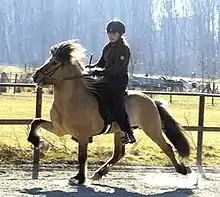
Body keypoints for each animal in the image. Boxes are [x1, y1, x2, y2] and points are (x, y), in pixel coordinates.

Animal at [27, 39, 192, 185]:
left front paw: (79, 178)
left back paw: (182, 169)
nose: (35, 76)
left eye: (55, 63)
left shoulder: (83, 135)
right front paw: (36, 141)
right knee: (119, 153)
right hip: (120, 131)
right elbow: (36, 122)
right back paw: (99, 173)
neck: (72, 100)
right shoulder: (60, 129)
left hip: (152, 129)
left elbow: (82, 156)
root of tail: (151, 100)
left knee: (167, 147)